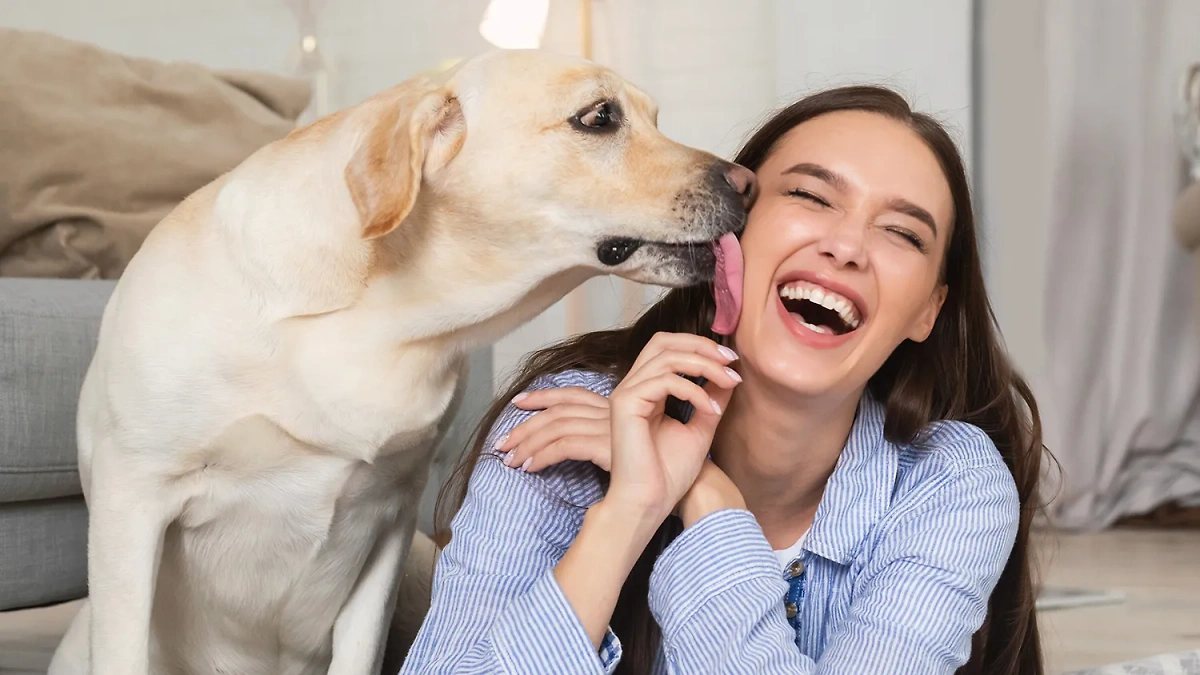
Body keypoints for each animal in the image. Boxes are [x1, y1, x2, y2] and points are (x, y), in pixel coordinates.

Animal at [51, 49, 753, 672]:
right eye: (599, 117)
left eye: (655, 117)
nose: (747, 184)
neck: (379, 320)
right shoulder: (132, 499)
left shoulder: (390, 517)